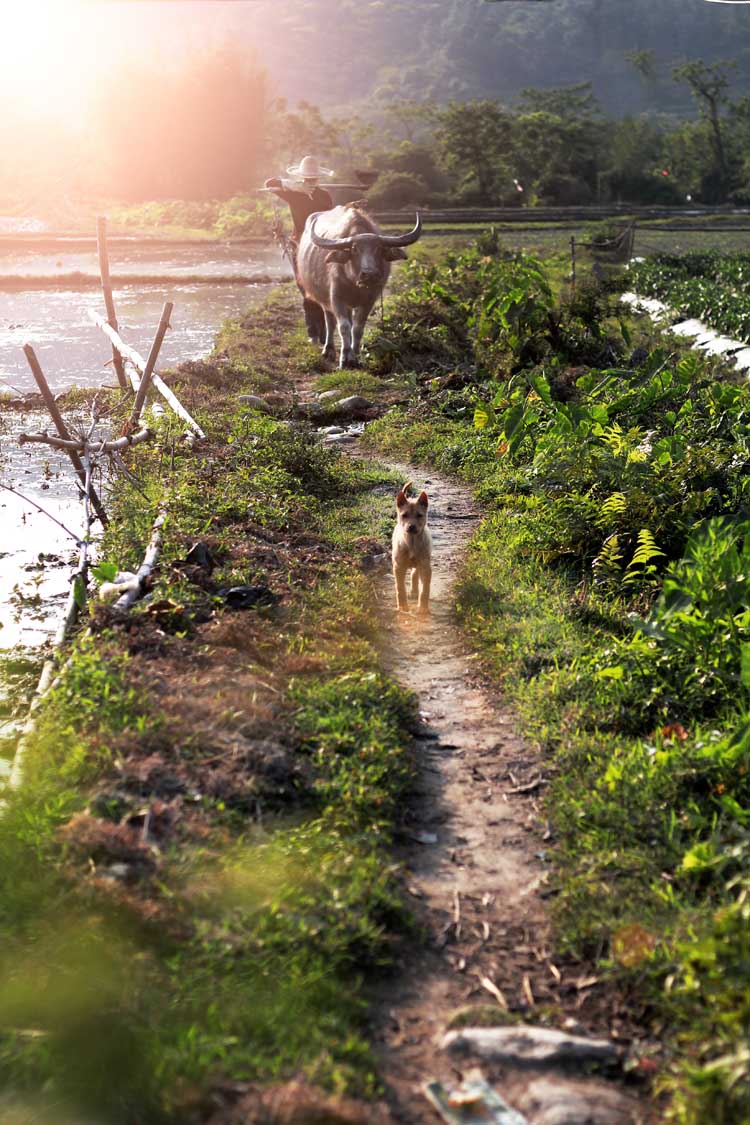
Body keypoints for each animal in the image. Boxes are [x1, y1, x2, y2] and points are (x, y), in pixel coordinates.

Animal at [294, 204, 422, 371]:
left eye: (379, 248)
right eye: (354, 249)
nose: (369, 274)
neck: (355, 285)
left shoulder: (369, 301)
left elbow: (358, 329)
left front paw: (354, 358)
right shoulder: (336, 299)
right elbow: (343, 327)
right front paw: (344, 360)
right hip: (324, 299)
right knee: (330, 321)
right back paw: (328, 350)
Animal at [391, 477, 431, 612]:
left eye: (419, 515)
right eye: (404, 515)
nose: (411, 527)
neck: (412, 542)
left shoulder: (426, 567)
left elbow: (425, 590)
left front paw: (423, 608)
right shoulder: (398, 567)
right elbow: (400, 588)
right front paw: (403, 606)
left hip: (420, 562)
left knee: (414, 574)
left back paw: (414, 591)